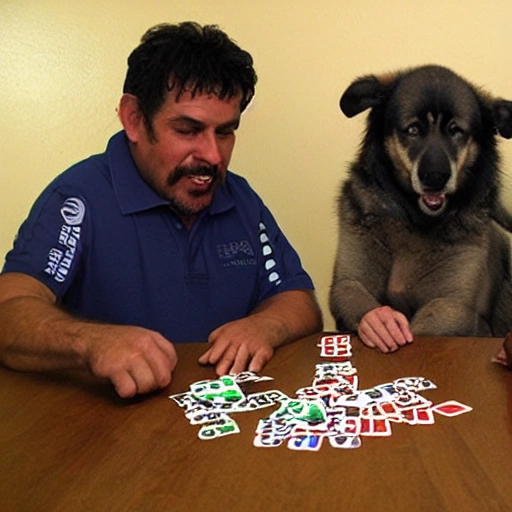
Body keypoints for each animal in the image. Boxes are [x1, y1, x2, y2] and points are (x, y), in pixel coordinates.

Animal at [330, 65, 512, 344]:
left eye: (456, 131)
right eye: (413, 130)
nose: (435, 177)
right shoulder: (348, 284)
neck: (415, 220)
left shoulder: (454, 307)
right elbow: (358, 301)